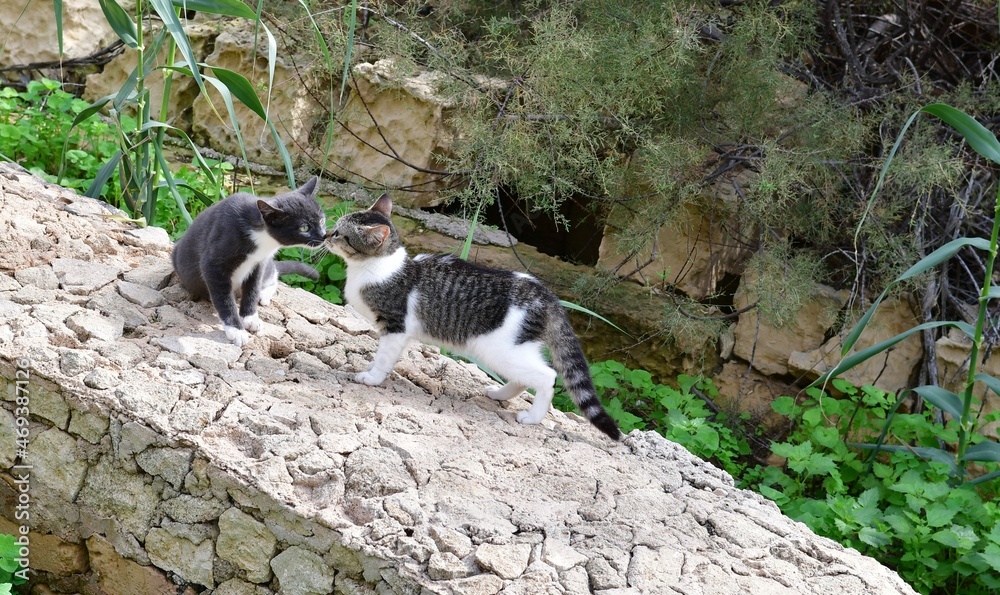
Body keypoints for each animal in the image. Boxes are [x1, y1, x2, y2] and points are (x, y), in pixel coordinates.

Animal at [172, 177, 326, 346]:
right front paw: (236, 330)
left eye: (321, 220)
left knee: (273, 276)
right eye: (304, 228)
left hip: (268, 267)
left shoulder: (259, 263)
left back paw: (263, 295)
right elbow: (223, 297)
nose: (324, 236)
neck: (262, 239)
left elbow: (252, 288)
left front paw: (250, 318)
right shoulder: (213, 261)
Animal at [324, 194, 622, 440]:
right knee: (526, 377)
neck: (378, 268)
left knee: (548, 376)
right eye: (334, 228)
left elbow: (383, 359)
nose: (326, 234)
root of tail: (547, 296)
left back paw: (533, 417)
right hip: (515, 349)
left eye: (340, 234)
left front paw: (372, 377)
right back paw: (498, 394)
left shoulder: (395, 327)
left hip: (499, 350)